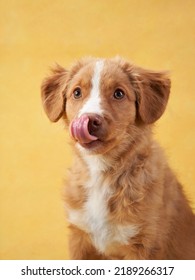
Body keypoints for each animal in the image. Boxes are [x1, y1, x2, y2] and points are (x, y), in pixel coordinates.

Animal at [41, 57, 195, 260]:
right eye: (77, 92)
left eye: (119, 93)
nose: (89, 120)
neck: (101, 172)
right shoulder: (80, 237)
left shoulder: (145, 245)